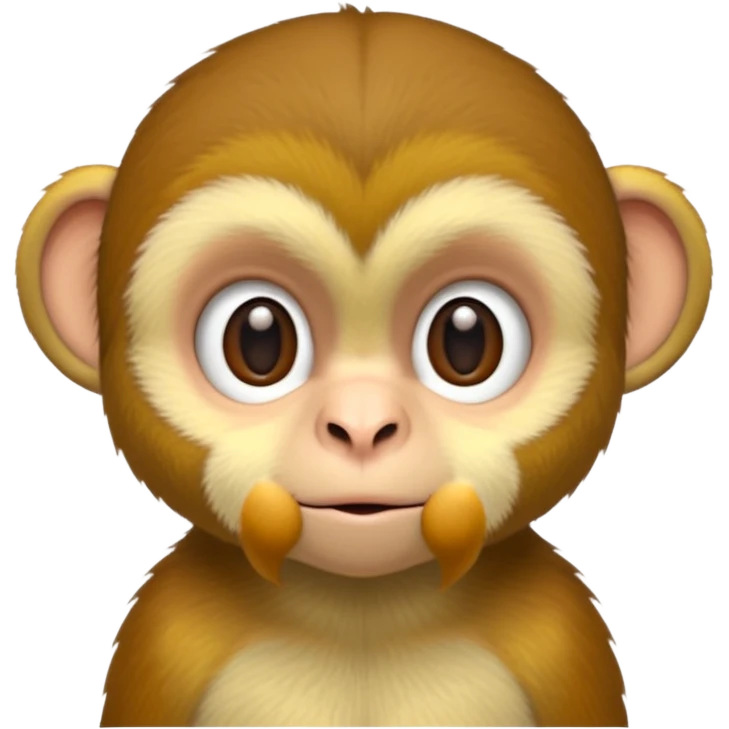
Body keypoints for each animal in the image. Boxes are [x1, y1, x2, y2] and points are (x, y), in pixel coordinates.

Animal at [13, 5, 713, 728]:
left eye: (466, 340)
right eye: (258, 340)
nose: (361, 426)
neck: (363, 609)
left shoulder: (558, 639)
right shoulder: (168, 640)